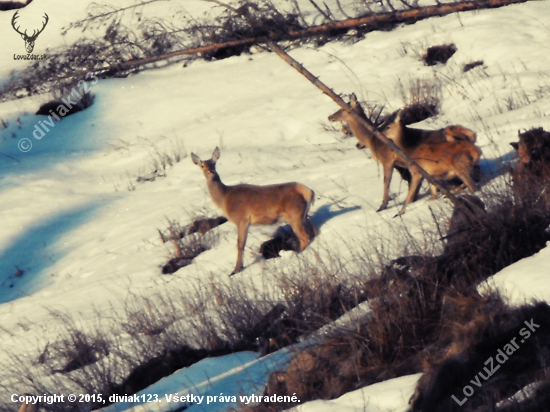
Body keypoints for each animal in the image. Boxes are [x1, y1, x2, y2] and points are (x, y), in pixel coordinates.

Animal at [193, 146, 314, 276]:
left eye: (214, 163)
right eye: (202, 165)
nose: (211, 171)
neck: (224, 200)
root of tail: (308, 191)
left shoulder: (242, 219)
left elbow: (240, 245)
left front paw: (235, 270)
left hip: (294, 214)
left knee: (305, 236)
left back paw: (296, 253)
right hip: (303, 215)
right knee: (313, 232)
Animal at [330, 93, 480, 214]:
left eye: (343, 108)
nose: (330, 117)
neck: (371, 141)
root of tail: (471, 140)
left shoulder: (388, 160)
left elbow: (387, 182)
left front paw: (383, 206)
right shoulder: (401, 165)